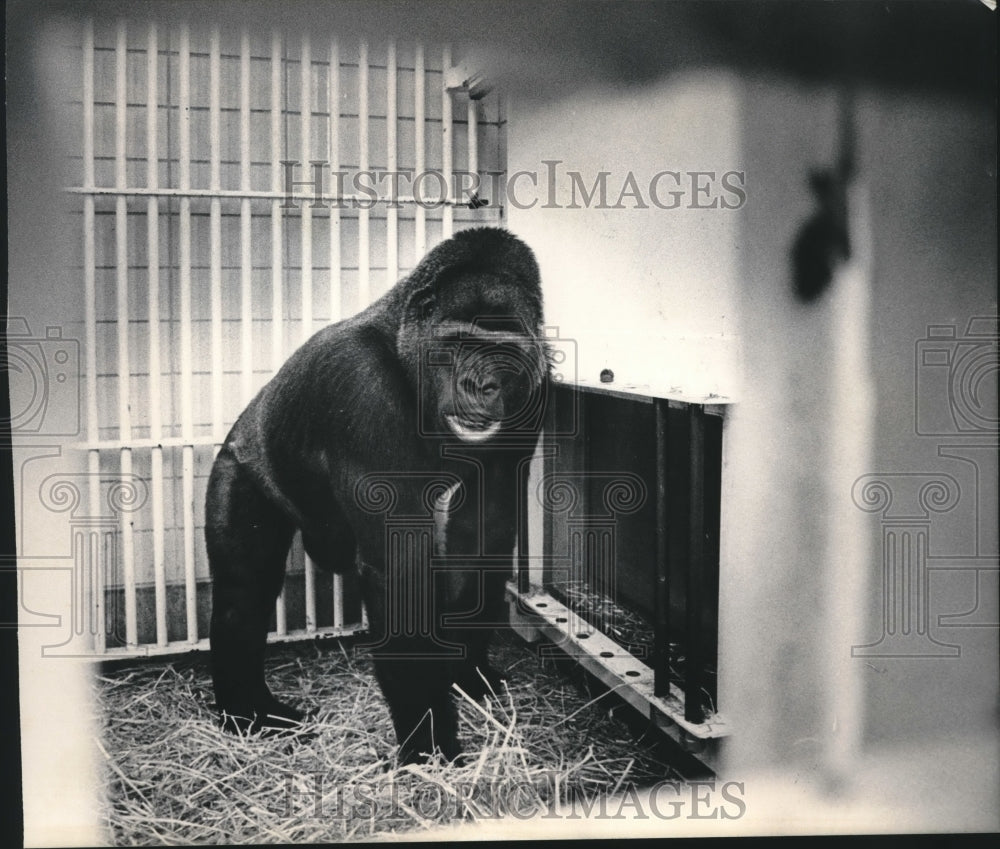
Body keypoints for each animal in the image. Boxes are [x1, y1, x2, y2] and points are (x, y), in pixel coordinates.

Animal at [203, 225, 548, 760]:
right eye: (458, 343)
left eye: (503, 350)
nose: (481, 385)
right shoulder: (360, 383)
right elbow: (398, 568)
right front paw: (431, 744)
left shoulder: (534, 388)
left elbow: (483, 530)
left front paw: (466, 672)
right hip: (239, 463)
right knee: (244, 587)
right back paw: (251, 712)